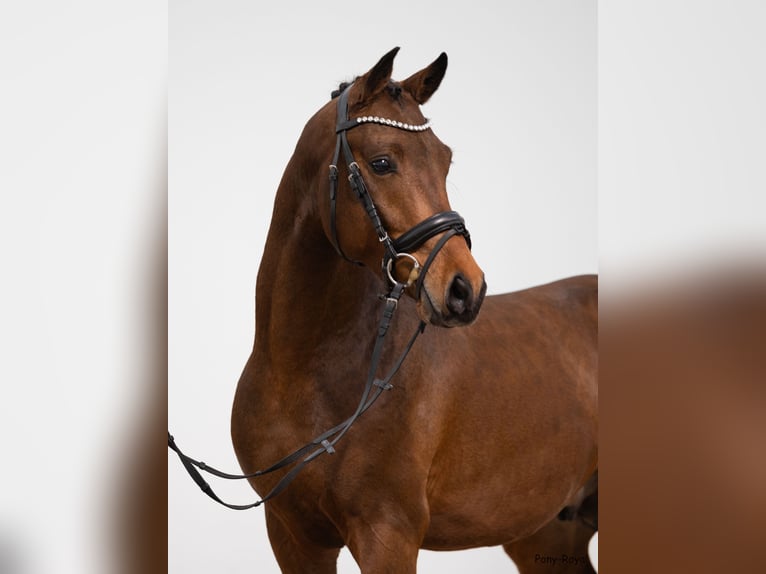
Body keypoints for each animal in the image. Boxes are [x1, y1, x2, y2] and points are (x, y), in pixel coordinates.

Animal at [230, 47, 598, 573]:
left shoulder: (388, 534)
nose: (466, 289)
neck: (302, 376)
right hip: (548, 532)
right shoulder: (292, 536)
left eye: (445, 160)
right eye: (382, 162)